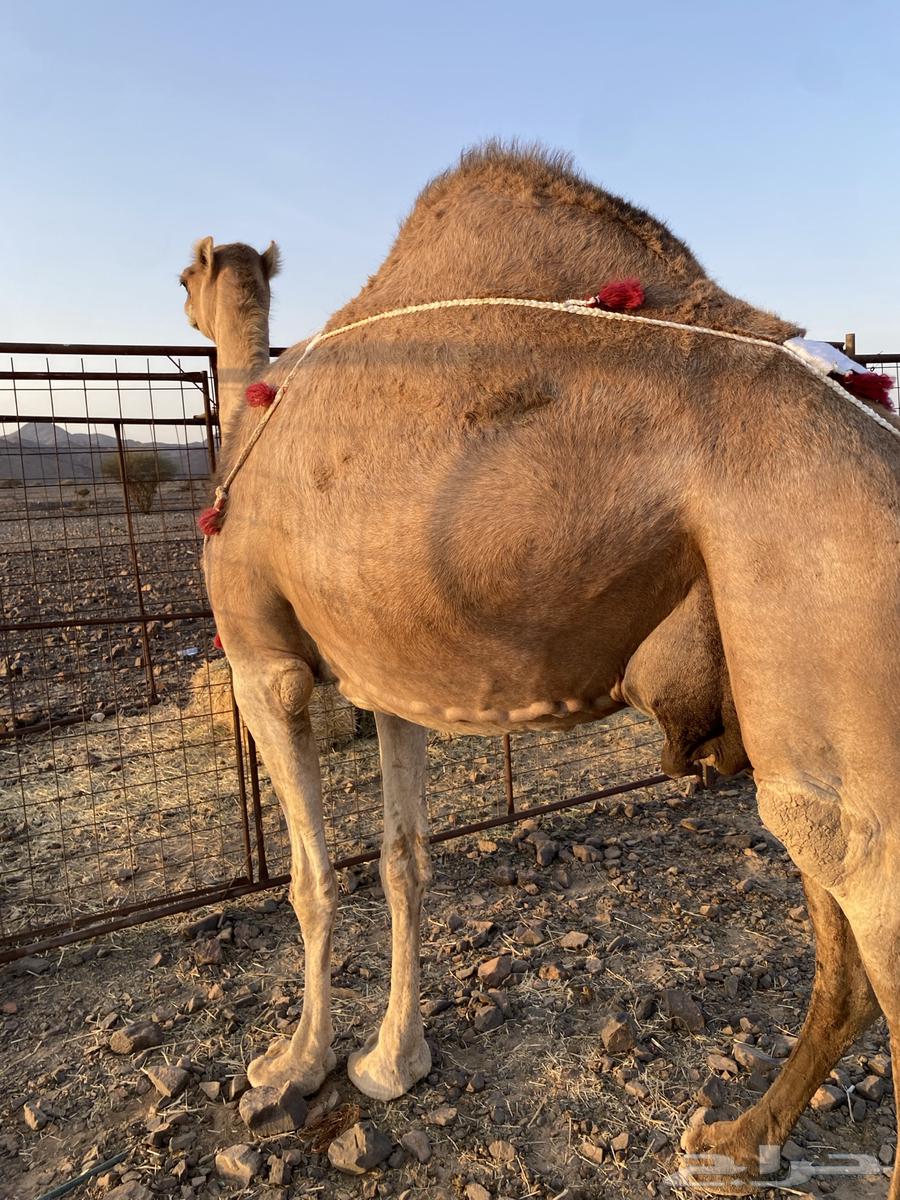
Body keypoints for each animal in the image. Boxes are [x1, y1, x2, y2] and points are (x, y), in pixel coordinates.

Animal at [180, 146, 900, 1196]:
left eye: (182, 280)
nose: (189, 304)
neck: (251, 419)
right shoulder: (390, 683)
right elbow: (404, 863)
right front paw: (394, 1062)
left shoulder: (261, 659)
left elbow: (311, 881)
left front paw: (289, 1069)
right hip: (800, 718)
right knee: (835, 916)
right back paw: (728, 1140)